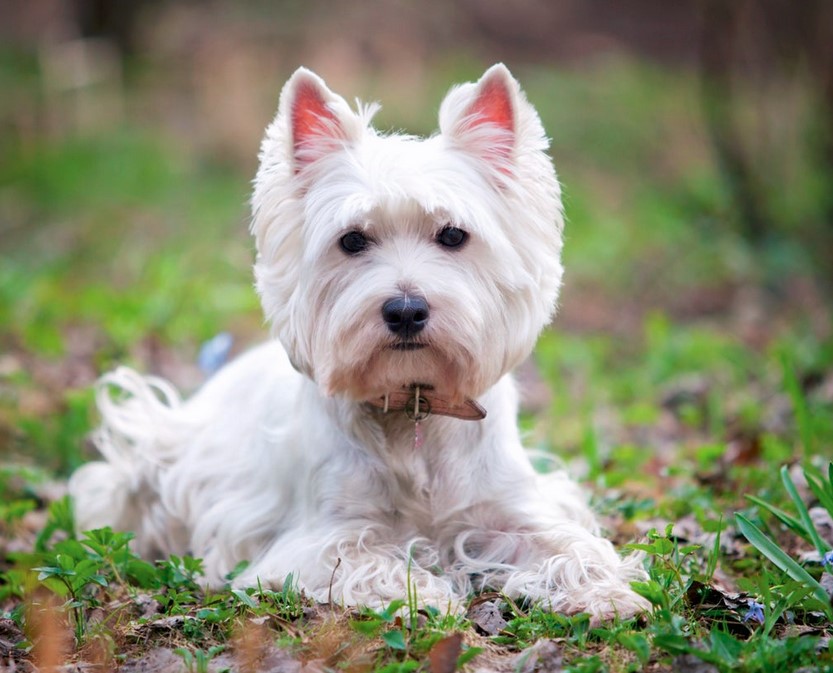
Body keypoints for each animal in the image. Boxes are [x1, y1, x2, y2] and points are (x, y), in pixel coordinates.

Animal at [68, 64, 648, 620]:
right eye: (351, 240)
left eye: (453, 235)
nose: (406, 310)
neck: (413, 409)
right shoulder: (320, 535)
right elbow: (367, 559)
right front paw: (426, 595)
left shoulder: (511, 509)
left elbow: (571, 545)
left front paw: (606, 594)